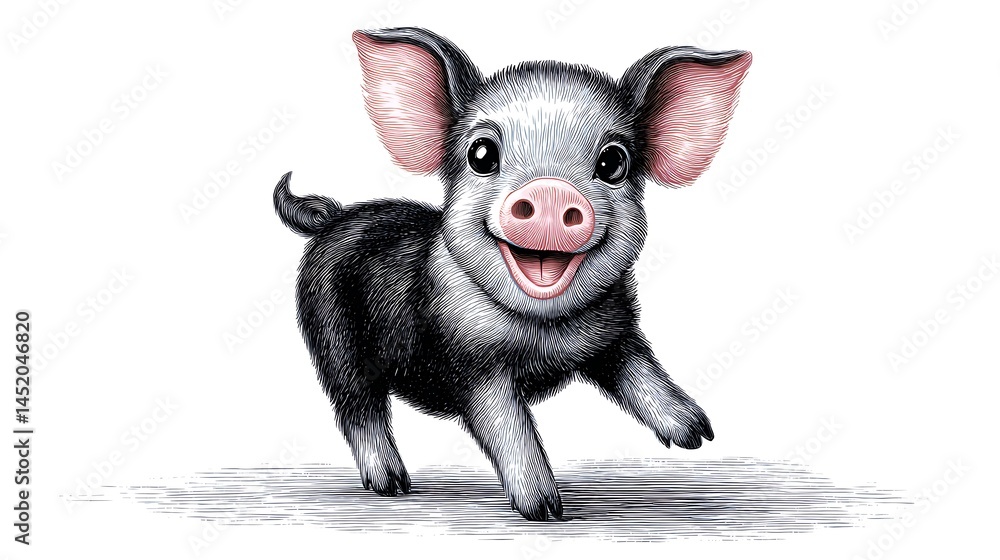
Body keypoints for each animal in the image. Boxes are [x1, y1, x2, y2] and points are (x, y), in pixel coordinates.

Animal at [274, 27, 751, 521]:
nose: (550, 192)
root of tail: (330, 218)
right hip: (333, 338)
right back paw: (393, 486)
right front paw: (546, 509)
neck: (547, 329)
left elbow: (641, 372)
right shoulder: (474, 365)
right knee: (358, 407)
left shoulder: (616, 331)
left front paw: (696, 432)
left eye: (613, 162)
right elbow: (509, 426)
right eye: (481, 154)